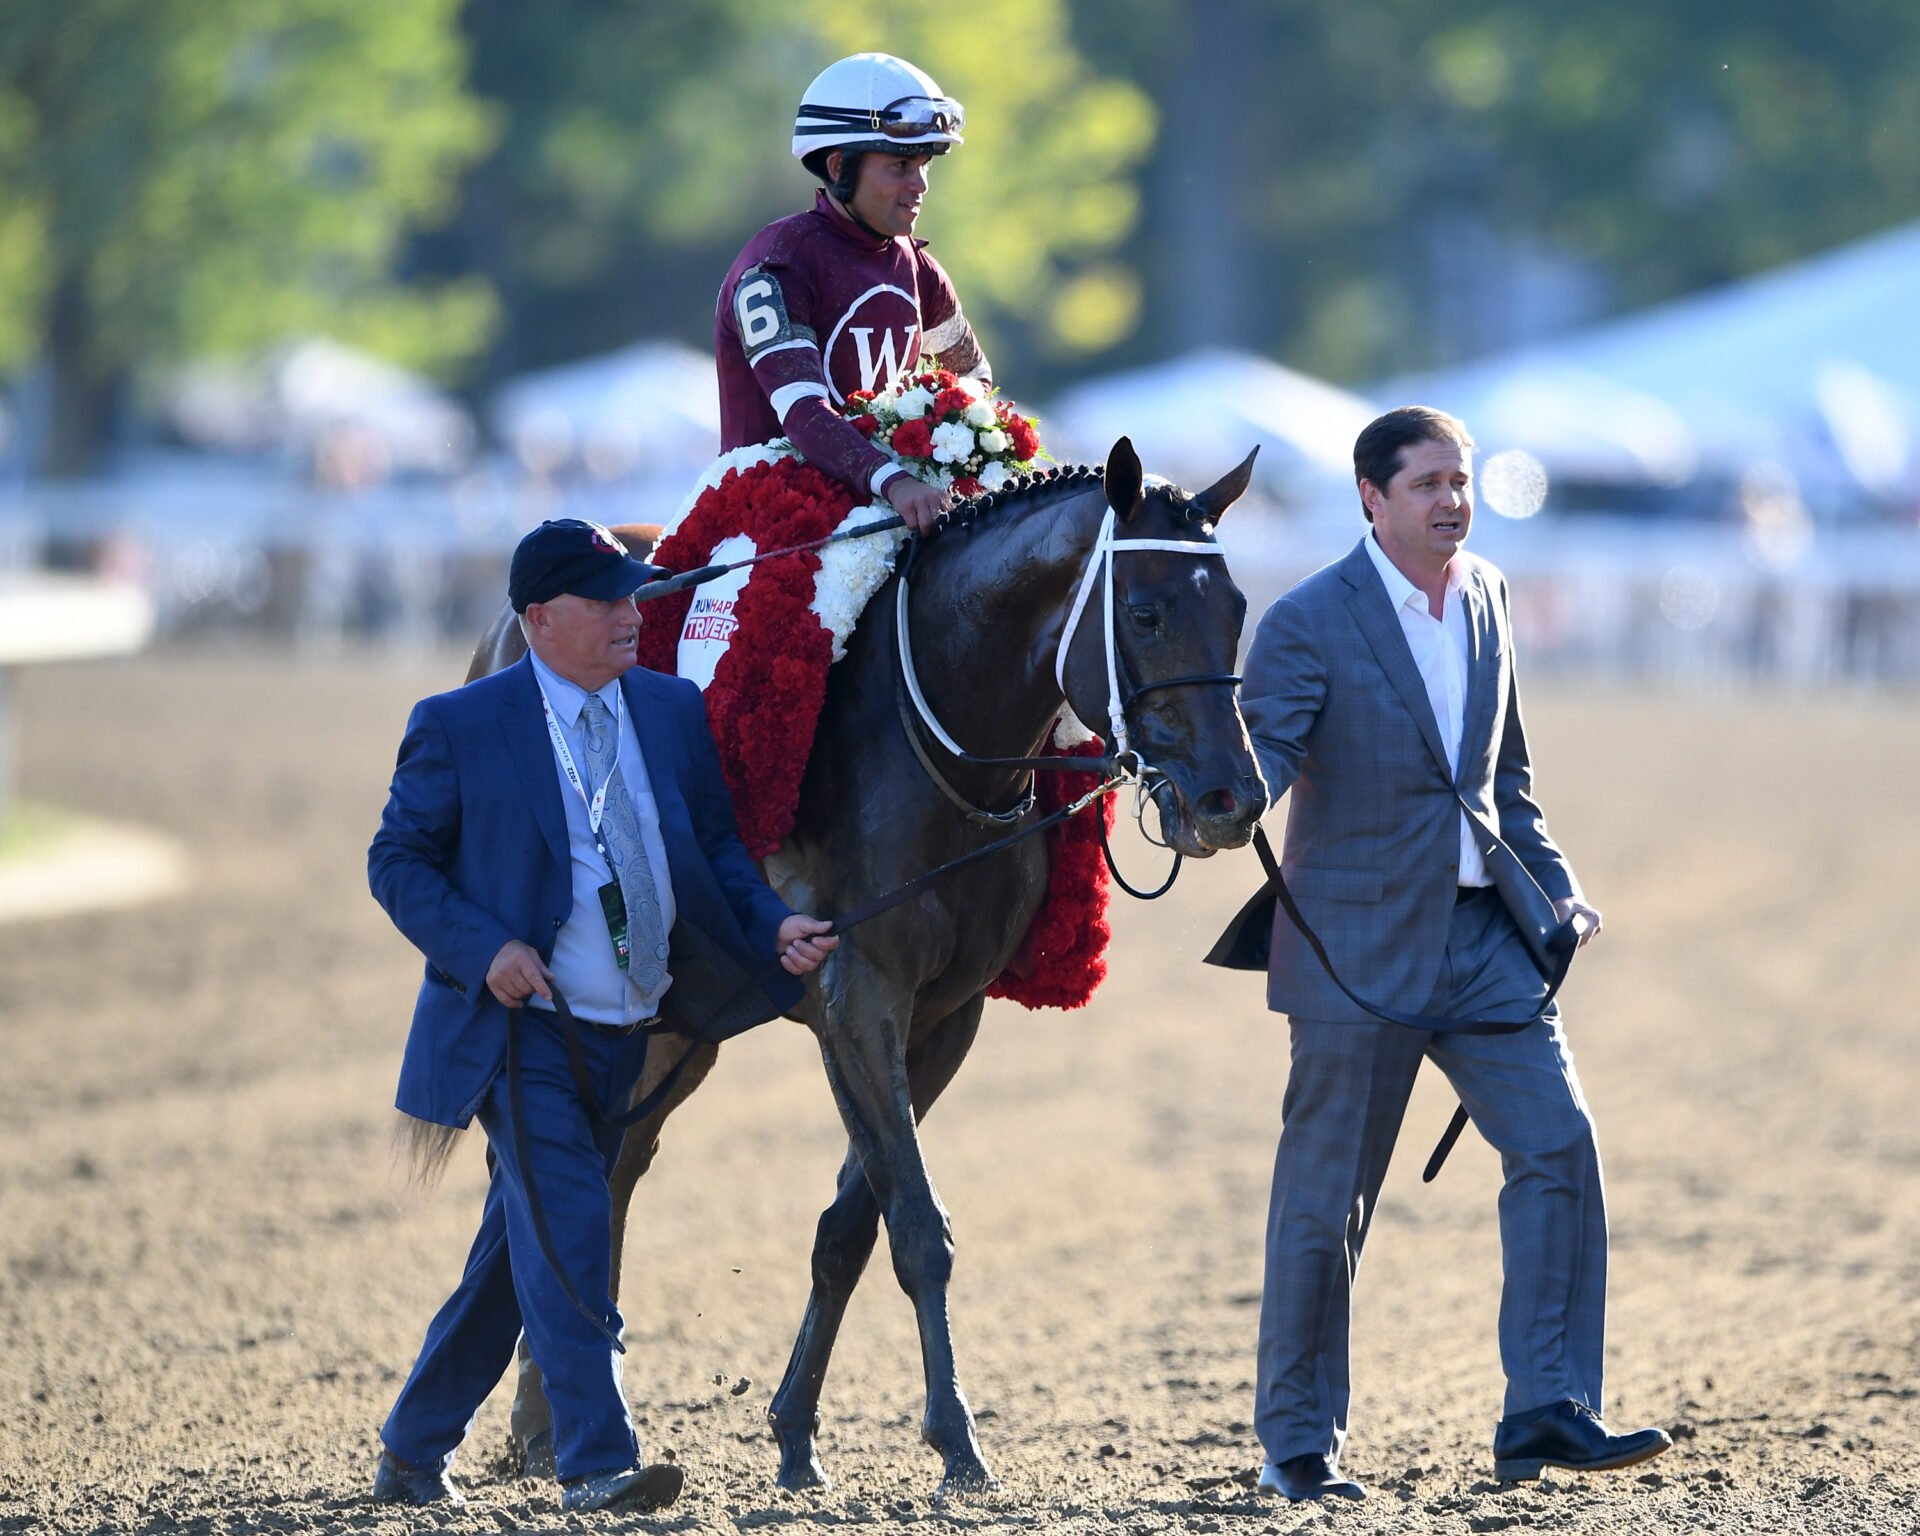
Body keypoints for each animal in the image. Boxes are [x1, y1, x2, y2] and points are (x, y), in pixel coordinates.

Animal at [460, 437, 1274, 1497]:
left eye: (1239, 610)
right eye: (1144, 612)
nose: (1233, 800)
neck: (932, 737)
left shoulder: (943, 1018)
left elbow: (853, 1225)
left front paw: (796, 1433)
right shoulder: (857, 1000)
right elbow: (918, 1226)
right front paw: (956, 1439)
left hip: (667, 1025)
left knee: (607, 1174)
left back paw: (547, 1421)